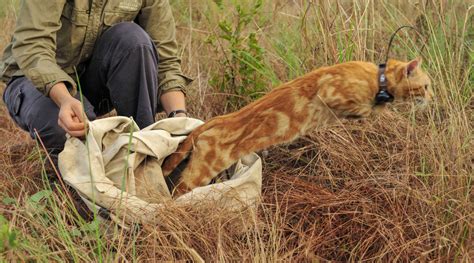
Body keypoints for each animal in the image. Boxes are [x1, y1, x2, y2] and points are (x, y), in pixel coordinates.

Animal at [162, 58, 434, 197]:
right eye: (427, 86)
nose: (433, 98)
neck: (377, 76)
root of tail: (213, 121)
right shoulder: (332, 93)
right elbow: (367, 108)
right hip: (201, 171)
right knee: (177, 189)